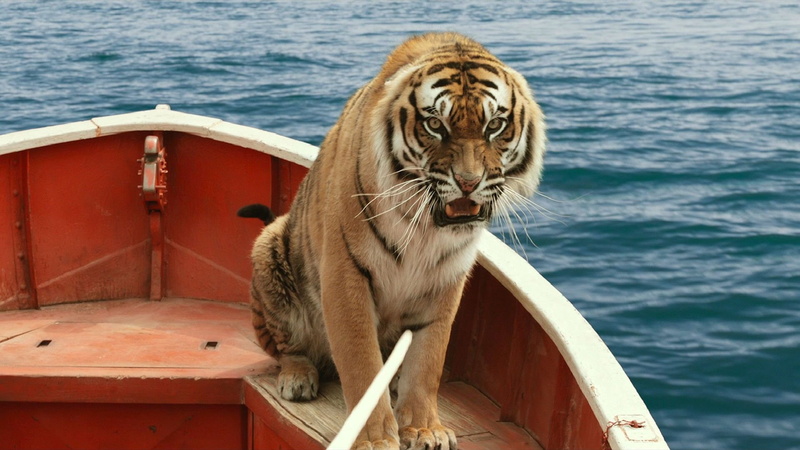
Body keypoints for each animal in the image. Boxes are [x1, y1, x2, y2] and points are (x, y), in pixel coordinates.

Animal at [240, 32, 546, 450]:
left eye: (495, 125)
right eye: (435, 124)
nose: (469, 182)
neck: (427, 229)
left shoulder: (446, 279)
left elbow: (427, 359)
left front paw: (425, 429)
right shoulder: (346, 275)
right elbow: (361, 361)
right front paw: (373, 438)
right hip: (268, 252)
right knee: (289, 349)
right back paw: (298, 378)